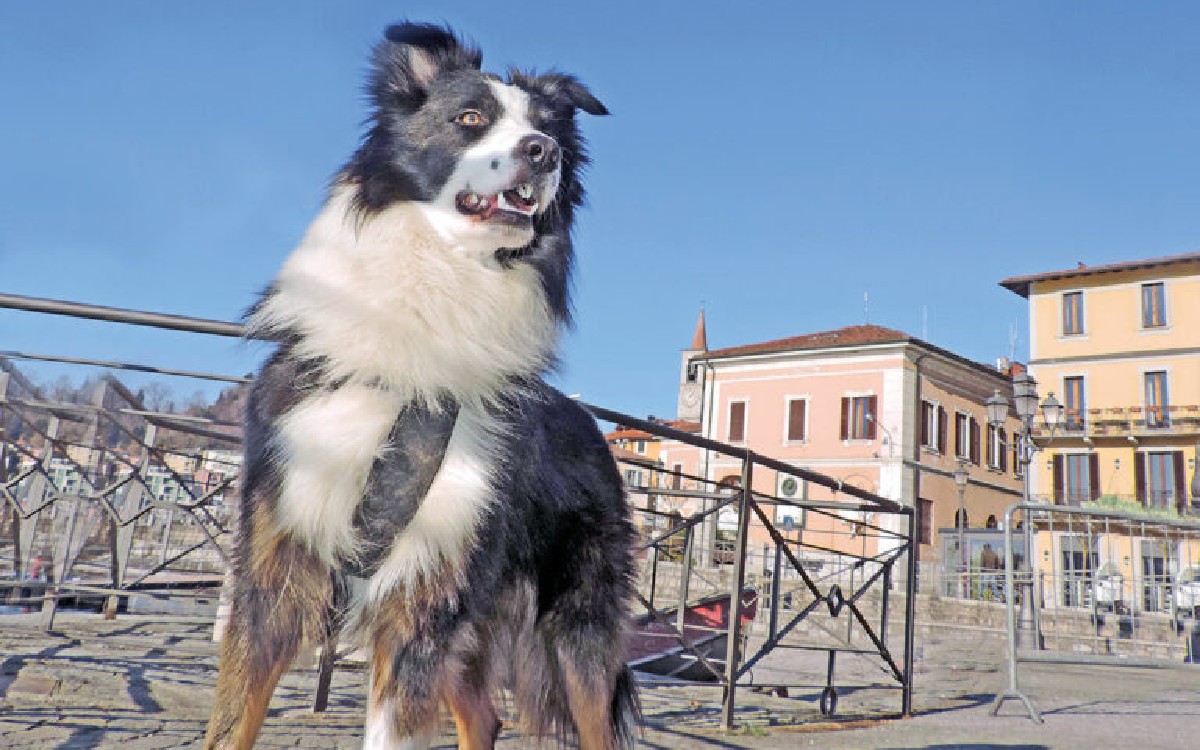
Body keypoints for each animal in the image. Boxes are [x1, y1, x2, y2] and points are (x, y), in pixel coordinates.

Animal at [204, 21, 638, 748]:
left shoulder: (427, 591)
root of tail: (591, 425)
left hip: (575, 627)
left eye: (546, 127)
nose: (543, 151)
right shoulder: (274, 568)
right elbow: (234, 722)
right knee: (485, 713)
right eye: (470, 118)